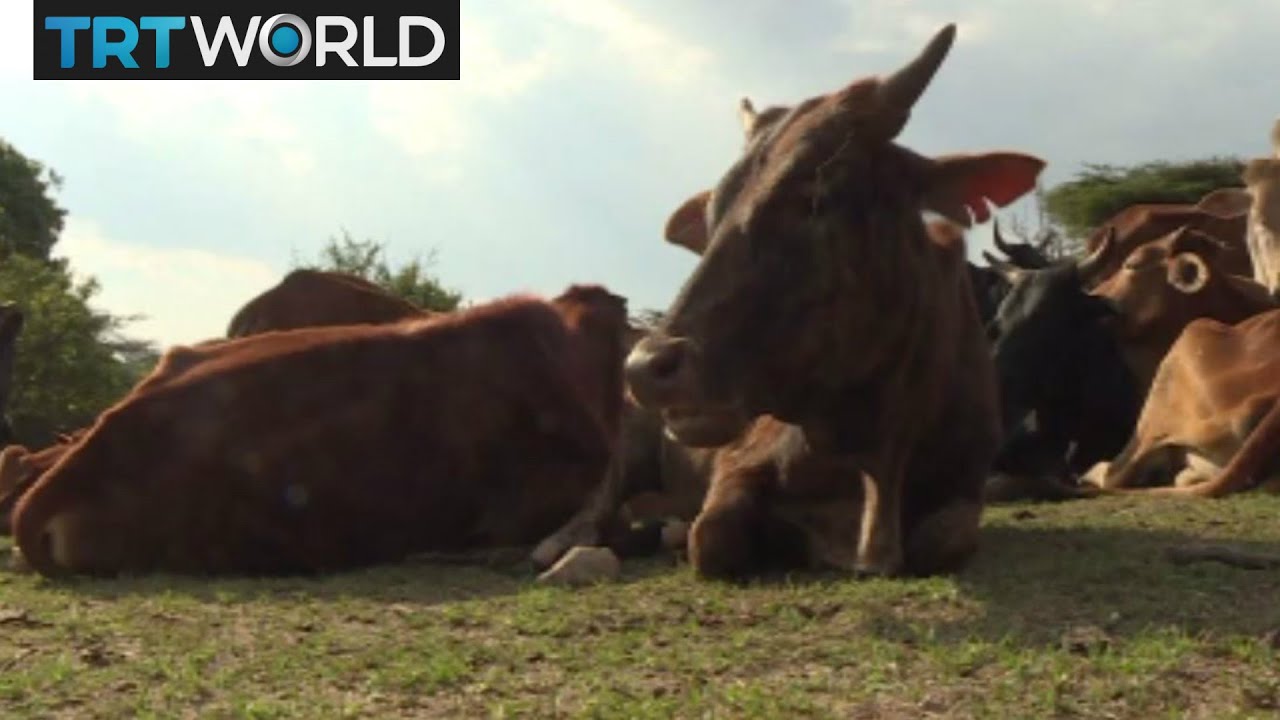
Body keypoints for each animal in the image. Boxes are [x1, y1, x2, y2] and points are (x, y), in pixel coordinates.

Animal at [623, 24, 1046, 580]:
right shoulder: (738, 468)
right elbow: (711, 539)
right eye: (714, 213)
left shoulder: (966, 484)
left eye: (816, 197)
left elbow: (945, 540)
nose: (647, 367)